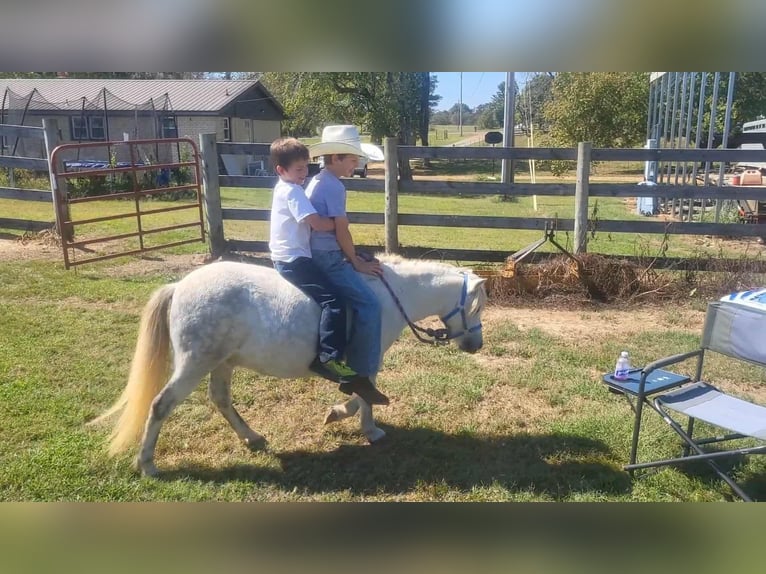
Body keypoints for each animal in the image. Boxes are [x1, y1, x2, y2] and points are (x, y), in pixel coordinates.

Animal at [90, 254, 487, 476]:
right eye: (478, 306)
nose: (476, 345)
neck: (390, 295)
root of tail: (180, 286)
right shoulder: (368, 357)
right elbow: (364, 394)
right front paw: (365, 427)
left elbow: (360, 392)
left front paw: (339, 414)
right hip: (195, 363)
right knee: (161, 405)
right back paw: (147, 464)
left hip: (221, 362)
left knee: (220, 399)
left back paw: (252, 437)